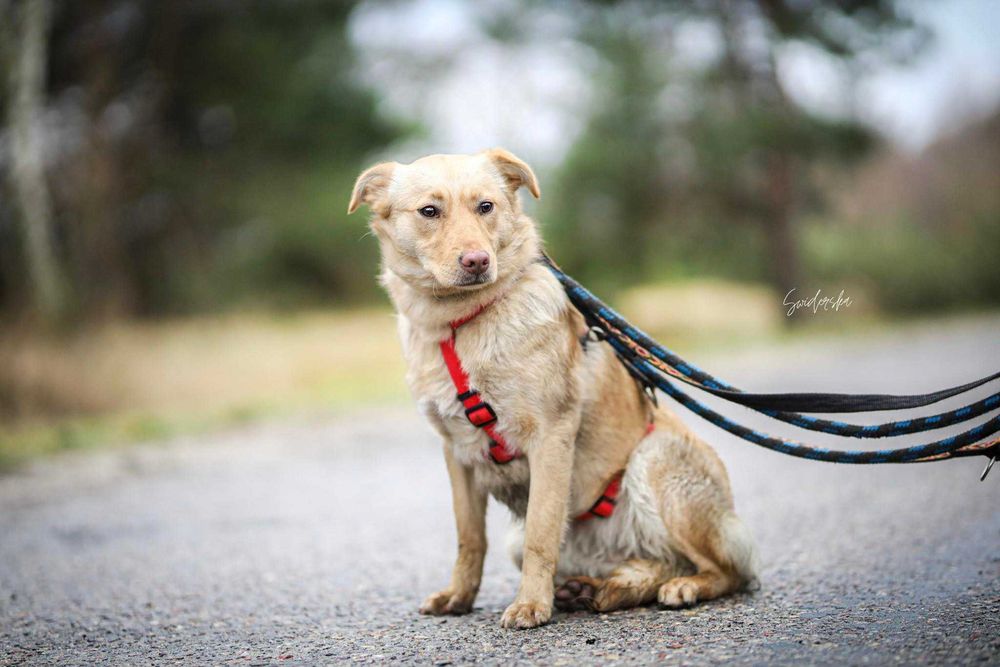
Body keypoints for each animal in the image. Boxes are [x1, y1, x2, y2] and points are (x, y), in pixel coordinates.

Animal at [348, 149, 752, 628]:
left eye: (486, 206)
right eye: (430, 211)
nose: (477, 261)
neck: (460, 325)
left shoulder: (550, 437)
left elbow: (541, 532)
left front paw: (531, 605)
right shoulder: (456, 454)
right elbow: (469, 539)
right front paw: (459, 597)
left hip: (656, 465)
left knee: (726, 570)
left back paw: (682, 586)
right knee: (656, 562)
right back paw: (601, 589)